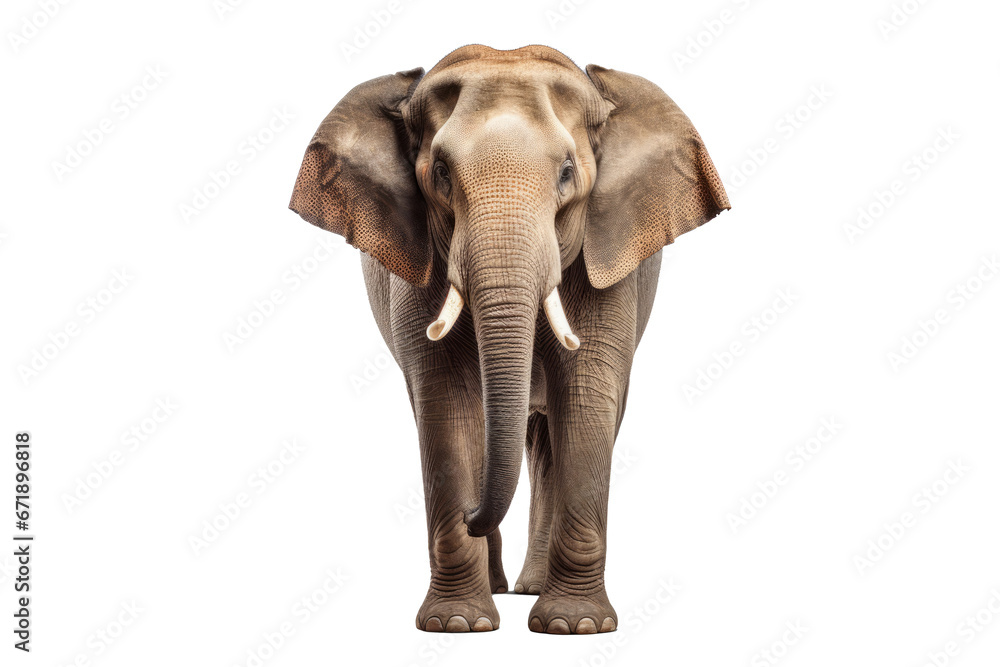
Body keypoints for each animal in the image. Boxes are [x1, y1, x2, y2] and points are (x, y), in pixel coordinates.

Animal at [288, 44, 730, 634]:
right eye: (441, 173)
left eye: (567, 172)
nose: (472, 516)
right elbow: (446, 402)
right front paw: (457, 624)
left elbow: (586, 398)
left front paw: (573, 627)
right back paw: (502, 590)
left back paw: (531, 591)